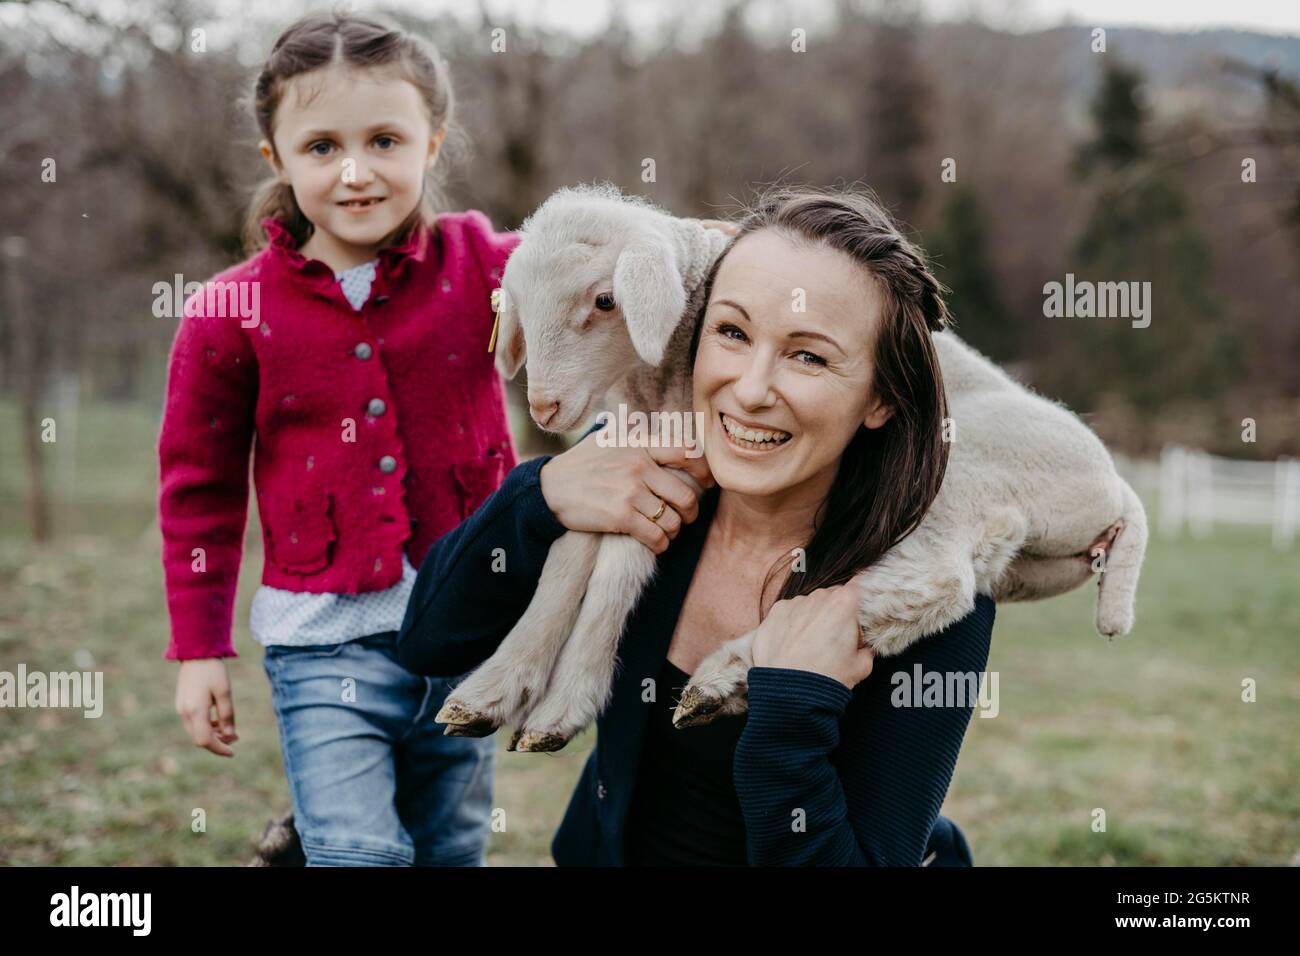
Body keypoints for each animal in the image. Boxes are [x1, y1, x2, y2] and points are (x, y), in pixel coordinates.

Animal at [436, 180, 1149, 749]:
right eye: (519, 302)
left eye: (606, 301)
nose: (545, 406)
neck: (660, 388)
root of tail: (1118, 489)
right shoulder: (631, 466)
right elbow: (572, 552)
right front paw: (494, 690)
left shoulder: (687, 462)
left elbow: (616, 565)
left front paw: (561, 706)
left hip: (960, 477)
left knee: (933, 583)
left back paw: (723, 673)